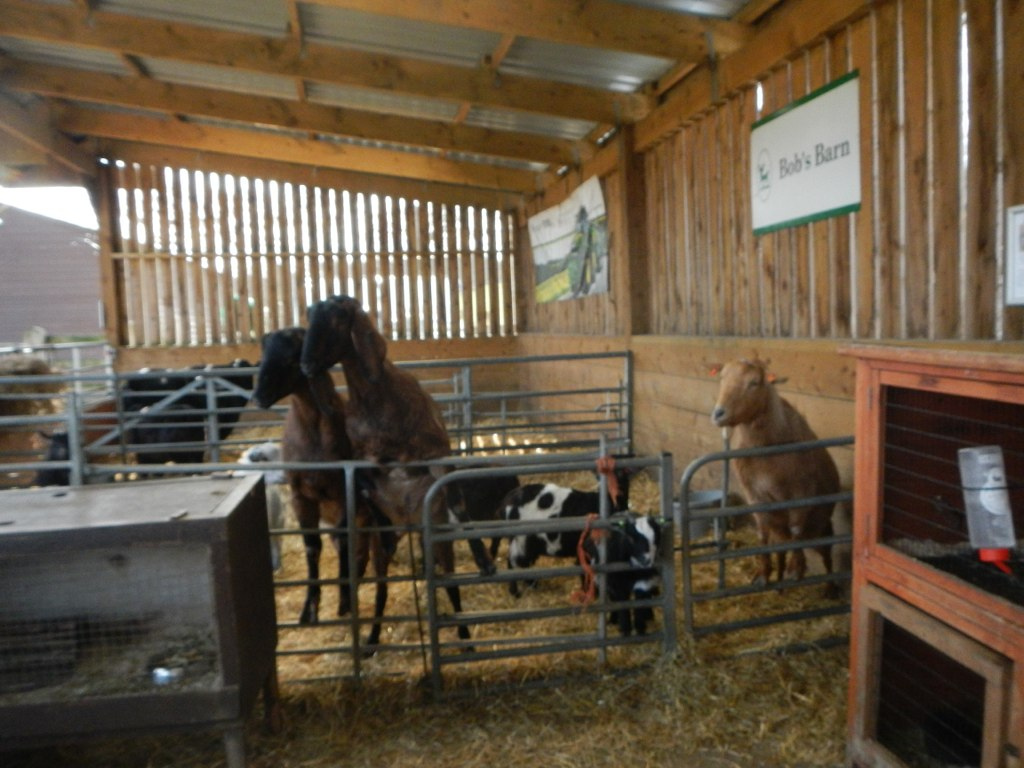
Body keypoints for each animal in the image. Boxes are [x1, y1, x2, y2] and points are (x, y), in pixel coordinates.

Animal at [251, 327, 391, 651]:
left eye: (290, 359)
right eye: (262, 357)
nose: (259, 397)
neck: (313, 432)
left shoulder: (343, 493)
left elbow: (342, 541)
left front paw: (342, 599)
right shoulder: (301, 496)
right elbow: (311, 547)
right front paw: (309, 610)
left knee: (363, 557)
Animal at [708, 360, 835, 589]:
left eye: (754, 382)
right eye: (721, 377)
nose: (718, 414)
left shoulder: (801, 492)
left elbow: (796, 528)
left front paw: (796, 569)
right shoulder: (755, 495)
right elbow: (762, 533)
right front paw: (763, 573)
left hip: (823, 527)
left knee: (826, 554)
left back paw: (830, 588)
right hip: (782, 530)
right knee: (780, 548)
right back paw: (780, 582)